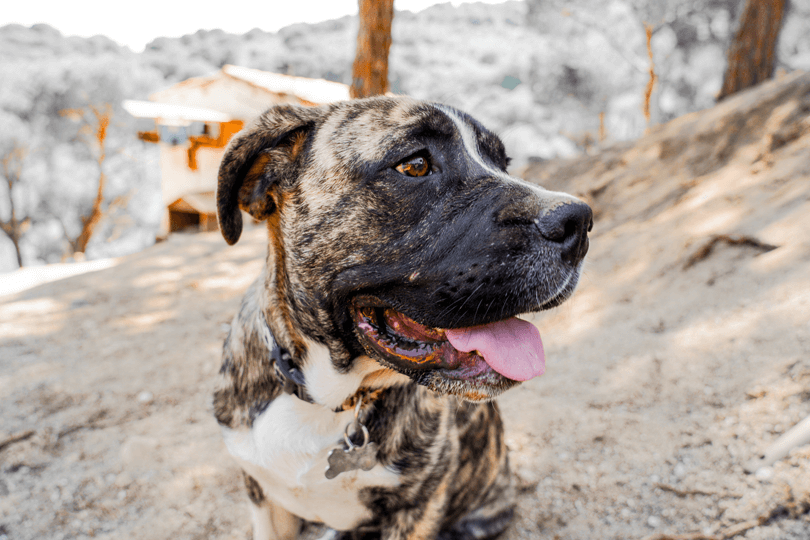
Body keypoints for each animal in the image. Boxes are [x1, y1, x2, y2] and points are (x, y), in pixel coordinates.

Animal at [211, 98, 592, 540]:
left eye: (503, 163)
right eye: (415, 165)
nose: (579, 220)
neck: (330, 398)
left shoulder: (416, 509)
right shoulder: (265, 500)